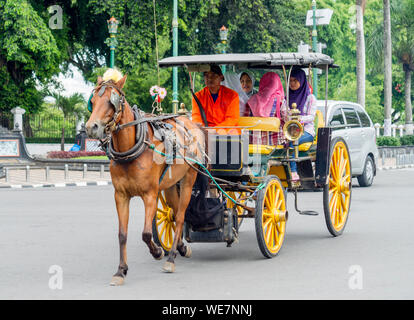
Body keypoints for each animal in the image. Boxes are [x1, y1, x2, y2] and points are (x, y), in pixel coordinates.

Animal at [85, 70, 205, 284]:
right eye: (93, 101)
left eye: (112, 101)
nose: (91, 127)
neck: (132, 148)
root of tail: (189, 121)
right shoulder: (121, 196)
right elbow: (122, 234)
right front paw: (121, 270)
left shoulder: (150, 194)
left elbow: (146, 233)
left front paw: (157, 252)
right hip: (170, 184)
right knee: (174, 213)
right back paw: (181, 247)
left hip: (188, 179)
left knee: (181, 216)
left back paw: (171, 257)